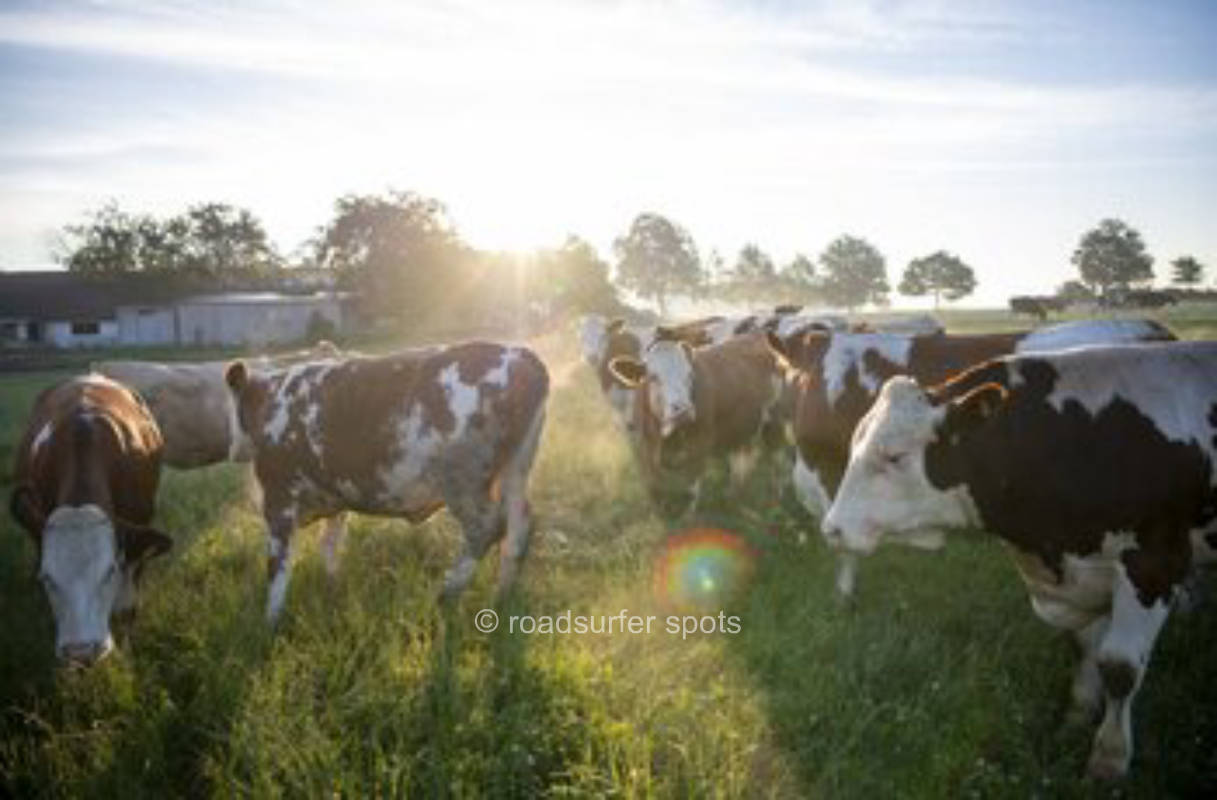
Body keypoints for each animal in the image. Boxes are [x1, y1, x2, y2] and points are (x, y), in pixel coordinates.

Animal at [224, 342, 549, 624]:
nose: (231, 448)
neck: (272, 401)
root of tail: (520, 354)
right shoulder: (335, 497)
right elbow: (329, 545)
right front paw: (333, 586)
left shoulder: (278, 497)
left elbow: (277, 566)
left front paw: (270, 622)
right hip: (516, 470)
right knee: (520, 526)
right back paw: (502, 599)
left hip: (463, 480)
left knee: (486, 527)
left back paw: (446, 594)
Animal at [606, 331, 787, 519]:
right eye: (653, 377)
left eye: (689, 375)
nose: (683, 411)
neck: (668, 438)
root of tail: (759, 334)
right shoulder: (645, 449)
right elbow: (655, 490)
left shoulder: (699, 445)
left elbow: (690, 491)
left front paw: (688, 520)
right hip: (742, 429)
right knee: (741, 463)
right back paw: (735, 498)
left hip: (775, 422)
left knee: (777, 462)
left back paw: (776, 502)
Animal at [820, 342, 1217, 780]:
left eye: (893, 457)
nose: (832, 529)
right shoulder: (1083, 575)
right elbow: (1084, 649)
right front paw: (1076, 716)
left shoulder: (1152, 565)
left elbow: (1119, 667)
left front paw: (1109, 759)